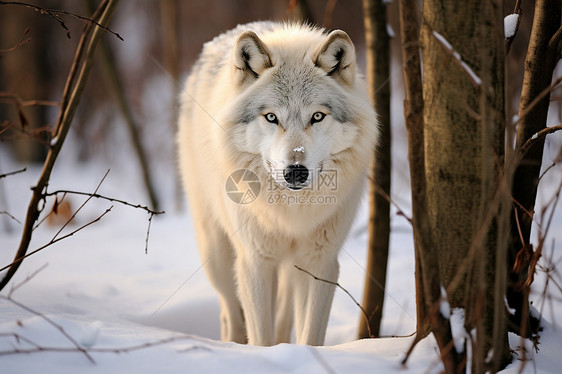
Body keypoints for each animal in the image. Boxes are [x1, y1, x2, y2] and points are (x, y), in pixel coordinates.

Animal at [176, 21, 376, 346]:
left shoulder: (320, 262)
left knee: (283, 316)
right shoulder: (255, 261)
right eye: (271, 117)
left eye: (317, 116)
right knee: (230, 314)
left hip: (289, 269)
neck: (289, 214)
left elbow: (310, 334)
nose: (295, 171)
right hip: (217, 256)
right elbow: (260, 335)